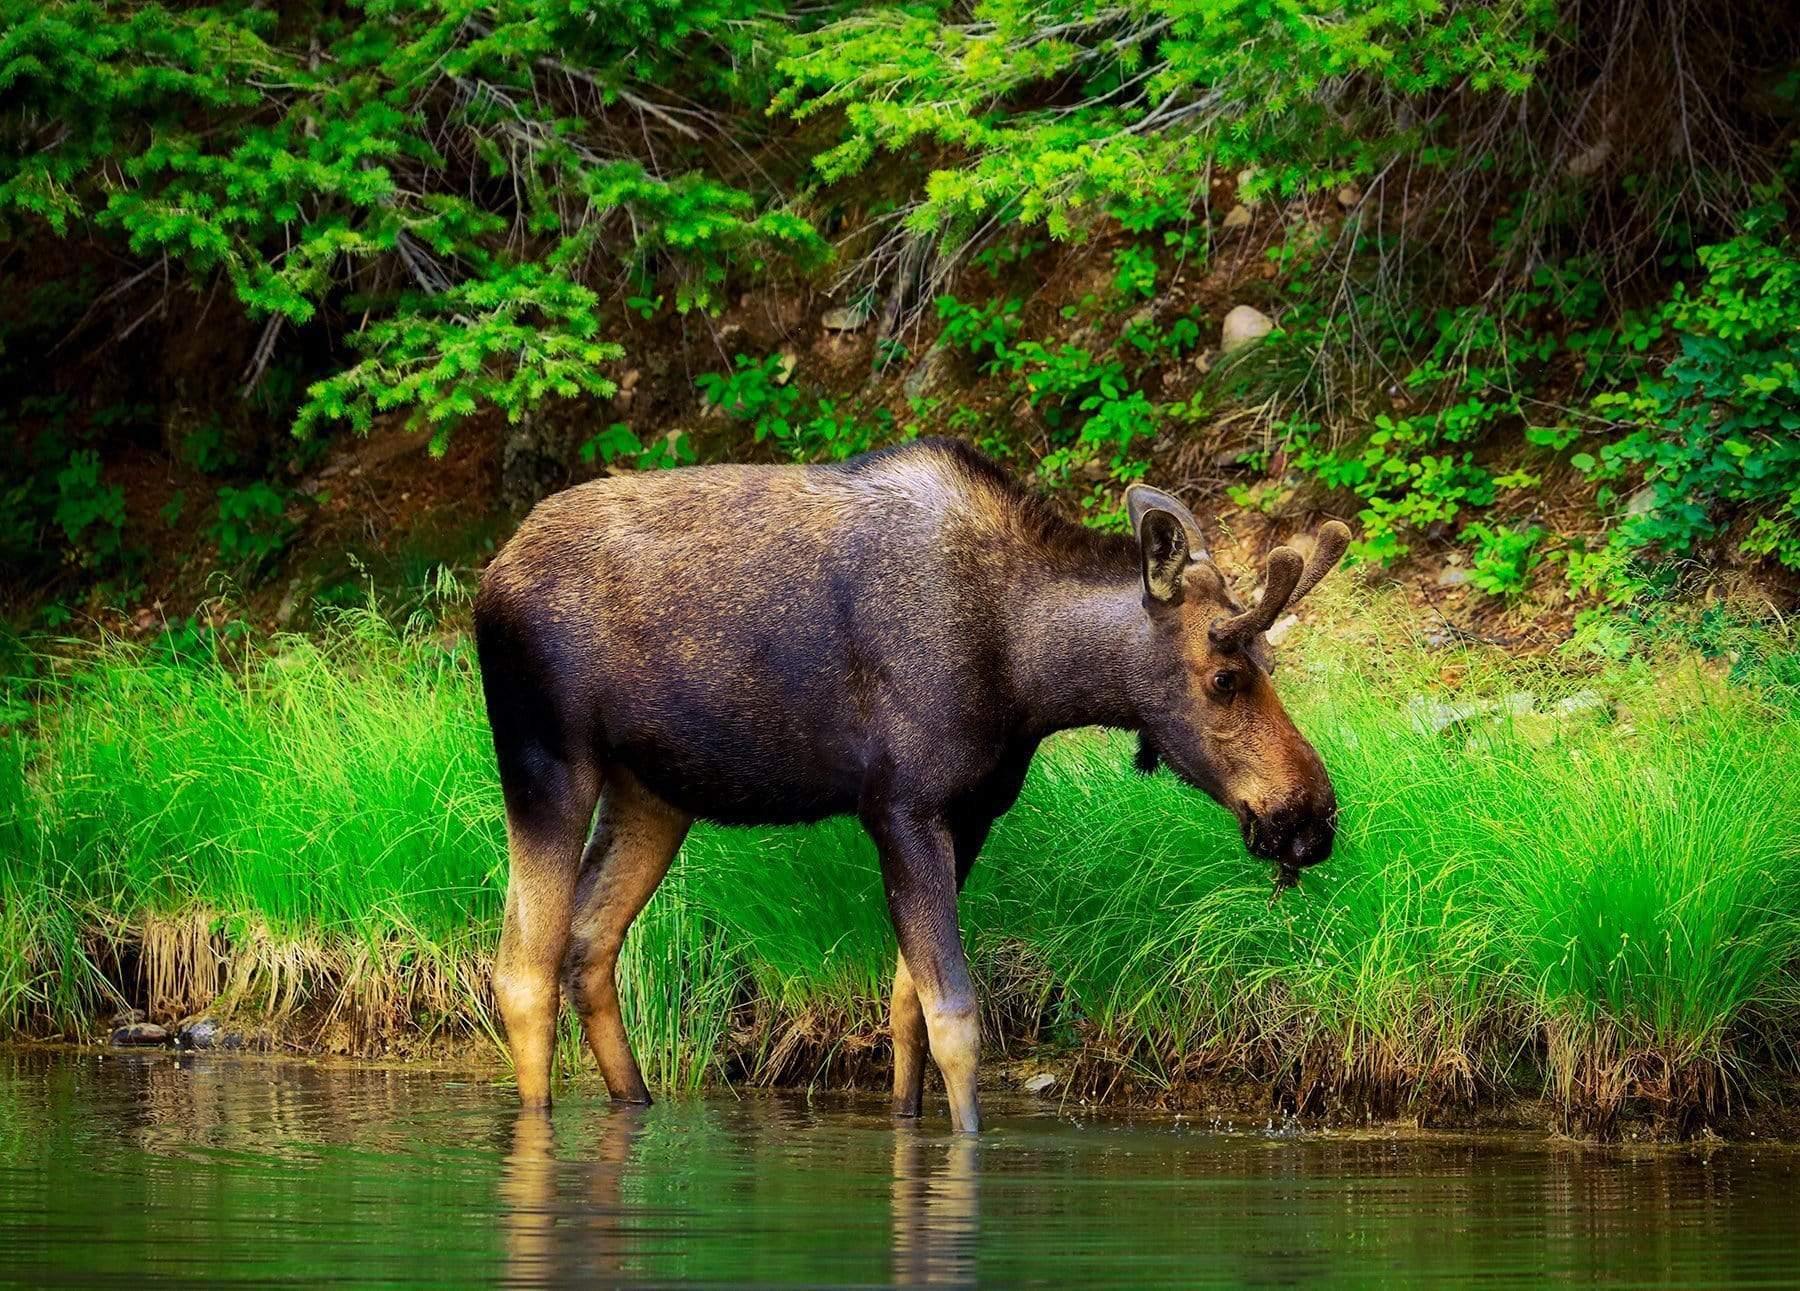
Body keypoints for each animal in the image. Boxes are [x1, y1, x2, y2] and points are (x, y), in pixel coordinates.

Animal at [472, 437, 1350, 1132]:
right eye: (1226, 675)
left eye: (1272, 663)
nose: (1312, 815)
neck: (1031, 676)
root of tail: (489, 579)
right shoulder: (901, 805)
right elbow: (955, 1015)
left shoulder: (972, 813)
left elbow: (906, 1006)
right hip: (546, 758)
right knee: (521, 968)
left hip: (653, 790)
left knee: (590, 942)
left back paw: (636, 1100)